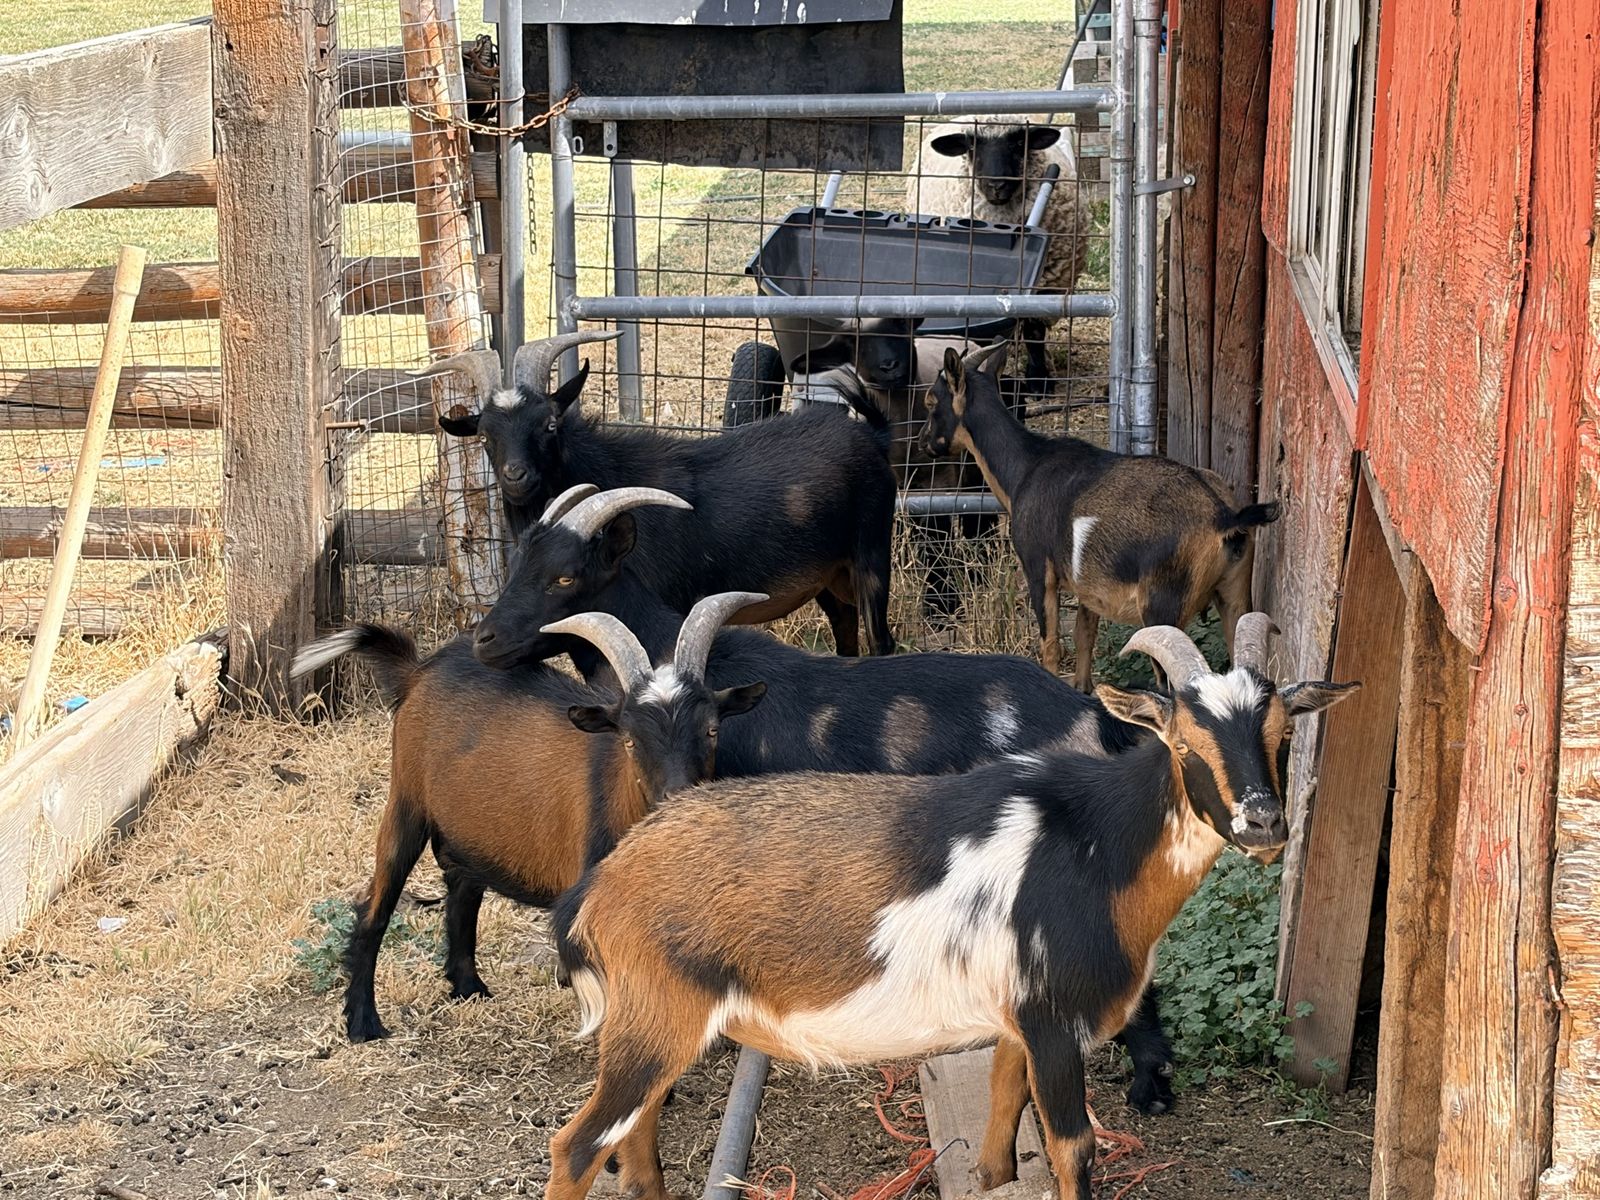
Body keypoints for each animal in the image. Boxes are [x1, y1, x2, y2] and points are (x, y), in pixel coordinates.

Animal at [288, 588, 766, 1043]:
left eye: (712, 729)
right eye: (630, 740)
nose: (679, 800)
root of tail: (419, 670)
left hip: (469, 828)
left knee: (462, 892)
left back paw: (468, 987)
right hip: (406, 802)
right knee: (376, 904)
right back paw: (363, 1023)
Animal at [418, 333, 898, 657]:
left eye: (550, 423)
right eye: (484, 436)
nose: (516, 476)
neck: (604, 473)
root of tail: (873, 435)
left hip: (871, 556)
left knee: (881, 640)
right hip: (828, 576)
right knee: (846, 633)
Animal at [546, 617, 1358, 1200]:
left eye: (1283, 732)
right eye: (1184, 741)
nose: (1263, 823)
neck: (1097, 843)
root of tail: (601, 886)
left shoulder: (1016, 1019)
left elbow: (1002, 1122)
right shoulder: (1054, 1019)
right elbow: (1073, 1149)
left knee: (633, 1138)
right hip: (657, 1016)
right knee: (579, 1145)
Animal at [922, 343, 1281, 690]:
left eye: (930, 401)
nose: (925, 444)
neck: (1025, 469)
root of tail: (1224, 516)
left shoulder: (1039, 569)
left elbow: (1050, 644)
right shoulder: (1089, 590)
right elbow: (1084, 638)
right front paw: (1082, 690)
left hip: (1163, 607)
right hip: (1234, 594)